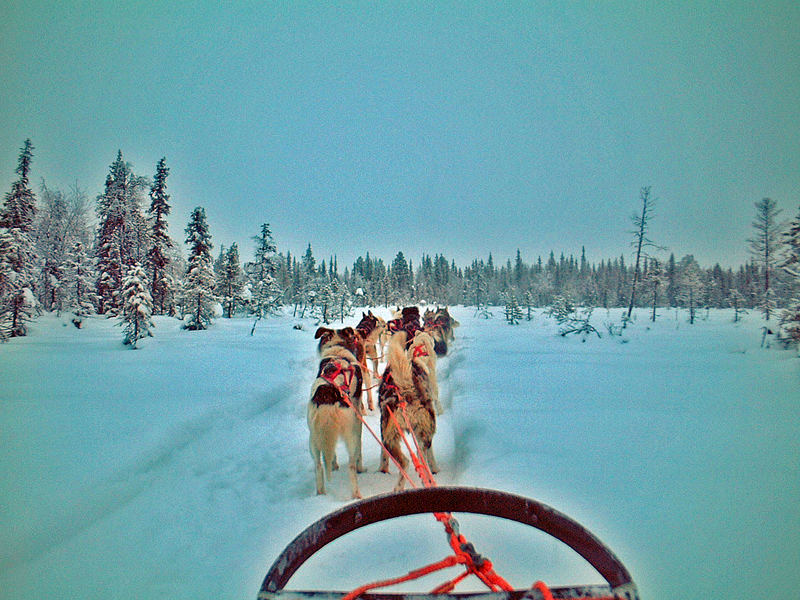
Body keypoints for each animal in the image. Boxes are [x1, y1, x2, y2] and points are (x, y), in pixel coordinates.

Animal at [310, 326, 366, 500]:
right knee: (352, 465)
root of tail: (329, 395)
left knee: (319, 466)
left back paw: (321, 493)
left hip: (313, 440)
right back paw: (357, 493)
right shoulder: (358, 420)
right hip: (351, 433)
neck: (337, 351)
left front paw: (334, 465)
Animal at [380, 328, 440, 492]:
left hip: (390, 437)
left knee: (406, 462)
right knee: (420, 461)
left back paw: (398, 488)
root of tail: (407, 391)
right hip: (421, 433)